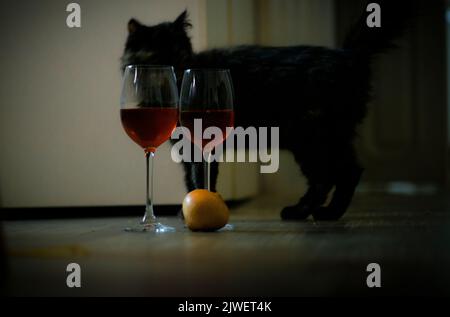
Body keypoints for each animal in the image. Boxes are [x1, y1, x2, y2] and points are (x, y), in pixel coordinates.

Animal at [119, 1, 408, 220]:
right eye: (157, 56)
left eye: (180, 54)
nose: (178, 70)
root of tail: (347, 54)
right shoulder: (187, 147)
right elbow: (191, 179)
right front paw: (189, 207)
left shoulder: (202, 143)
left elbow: (200, 176)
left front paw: (196, 207)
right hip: (317, 139)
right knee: (332, 176)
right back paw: (310, 212)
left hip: (313, 135)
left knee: (341, 174)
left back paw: (320, 213)